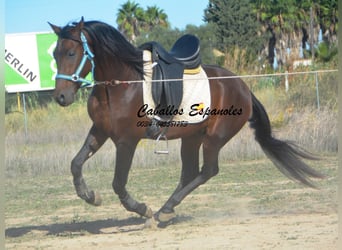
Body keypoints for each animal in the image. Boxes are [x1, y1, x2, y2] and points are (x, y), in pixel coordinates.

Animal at [48, 18, 324, 223]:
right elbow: (76, 163)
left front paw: (142, 208)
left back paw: (163, 211)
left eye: (71, 52)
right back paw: (167, 209)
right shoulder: (100, 131)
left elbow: (118, 183)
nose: (61, 97)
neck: (121, 83)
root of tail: (242, 86)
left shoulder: (126, 141)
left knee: (208, 171)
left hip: (214, 138)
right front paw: (89, 195)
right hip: (191, 137)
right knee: (190, 172)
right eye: (55, 55)